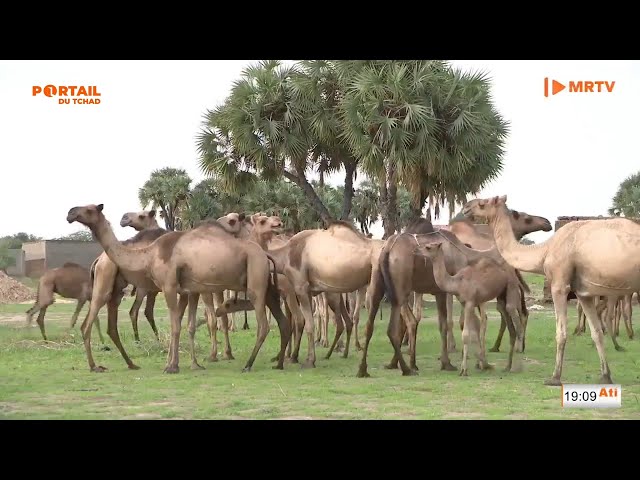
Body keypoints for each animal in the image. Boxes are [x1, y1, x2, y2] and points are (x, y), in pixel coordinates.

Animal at [65, 203, 290, 376]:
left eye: (89, 209)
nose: (70, 213)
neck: (150, 254)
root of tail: (265, 255)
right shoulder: (187, 290)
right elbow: (186, 325)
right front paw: (186, 363)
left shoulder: (171, 287)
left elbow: (176, 325)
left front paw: (173, 366)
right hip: (267, 288)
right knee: (282, 322)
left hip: (256, 283)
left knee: (264, 325)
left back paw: (249, 364)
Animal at [416, 240, 524, 376]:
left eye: (428, 247)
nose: (415, 250)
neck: (457, 283)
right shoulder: (466, 303)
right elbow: (473, 329)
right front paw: (482, 363)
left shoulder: (469, 302)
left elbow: (466, 334)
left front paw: (464, 370)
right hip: (501, 296)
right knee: (510, 326)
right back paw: (507, 366)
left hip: (511, 286)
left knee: (516, 322)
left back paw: (516, 366)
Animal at [462, 195, 640, 386]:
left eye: (482, 203)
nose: (465, 207)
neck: (545, 251)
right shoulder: (583, 293)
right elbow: (597, 333)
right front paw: (606, 376)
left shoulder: (559, 285)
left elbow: (560, 333)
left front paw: (555, 377)